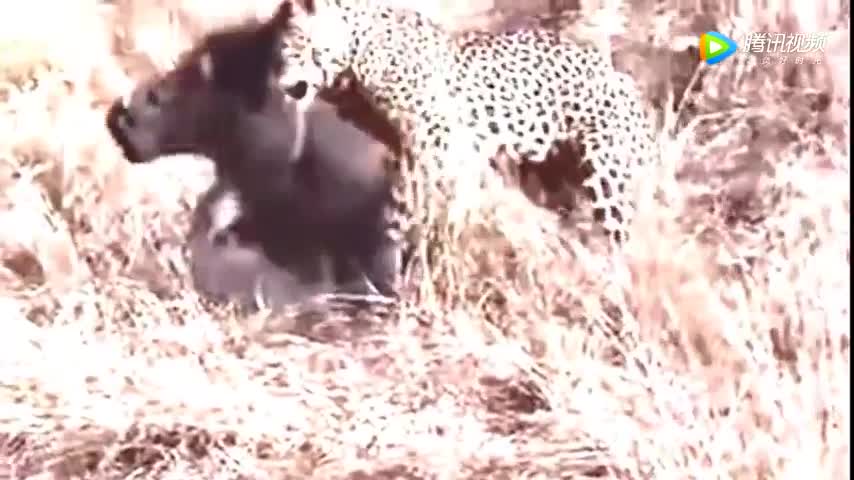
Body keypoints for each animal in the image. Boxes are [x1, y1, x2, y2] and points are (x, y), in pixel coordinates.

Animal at [271, 0, 657, 251]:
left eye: (291, 45)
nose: (280, 83)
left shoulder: (433, 130)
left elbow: (411, 192)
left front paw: (401, 231)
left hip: (605, 169)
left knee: (621, 240)